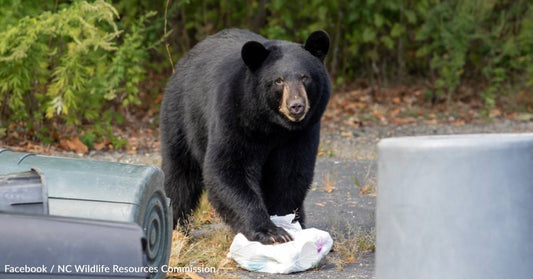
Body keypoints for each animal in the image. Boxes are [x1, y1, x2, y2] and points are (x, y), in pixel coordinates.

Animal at [160, 29, 330, 245]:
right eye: (278, 80)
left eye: (305, 77)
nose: (296, 106)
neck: (272, 125)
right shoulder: (235, 117)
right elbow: (228, 168)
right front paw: (271, 232)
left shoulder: (301, 133)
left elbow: (291, 174)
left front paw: (286, 221)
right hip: (182, 117)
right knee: (180, 175)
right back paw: (176, 227)